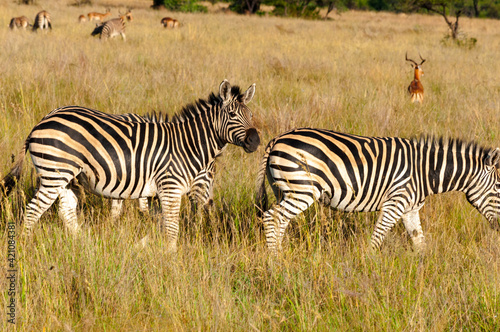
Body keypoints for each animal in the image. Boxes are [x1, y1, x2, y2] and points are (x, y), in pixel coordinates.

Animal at [2, 80, 262, 252]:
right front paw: (171, 258)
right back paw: (25, 247)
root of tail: (42, 121)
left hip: (67, 177)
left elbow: (158, 222)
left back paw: (85, 247)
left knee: (66, 211)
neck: (187, 145)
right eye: (232, 115)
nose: (255, 141)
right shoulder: (169, 188)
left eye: (251, 114)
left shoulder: (156, 191)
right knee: (33, 211)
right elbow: (171, 227)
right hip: (54, 173)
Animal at [256, 128, 500, 253]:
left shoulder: (410, 209)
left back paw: (280, 257)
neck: (425, 171)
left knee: (280, 221)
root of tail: (278, 138)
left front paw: (425, 273)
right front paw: (368, 267)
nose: (499, 228)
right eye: (499, 189)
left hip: (285, 190)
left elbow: (419, 242)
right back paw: (275, 262)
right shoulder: (395, 203)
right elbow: (377, 238)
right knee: (271, 217)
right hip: (302, 190)